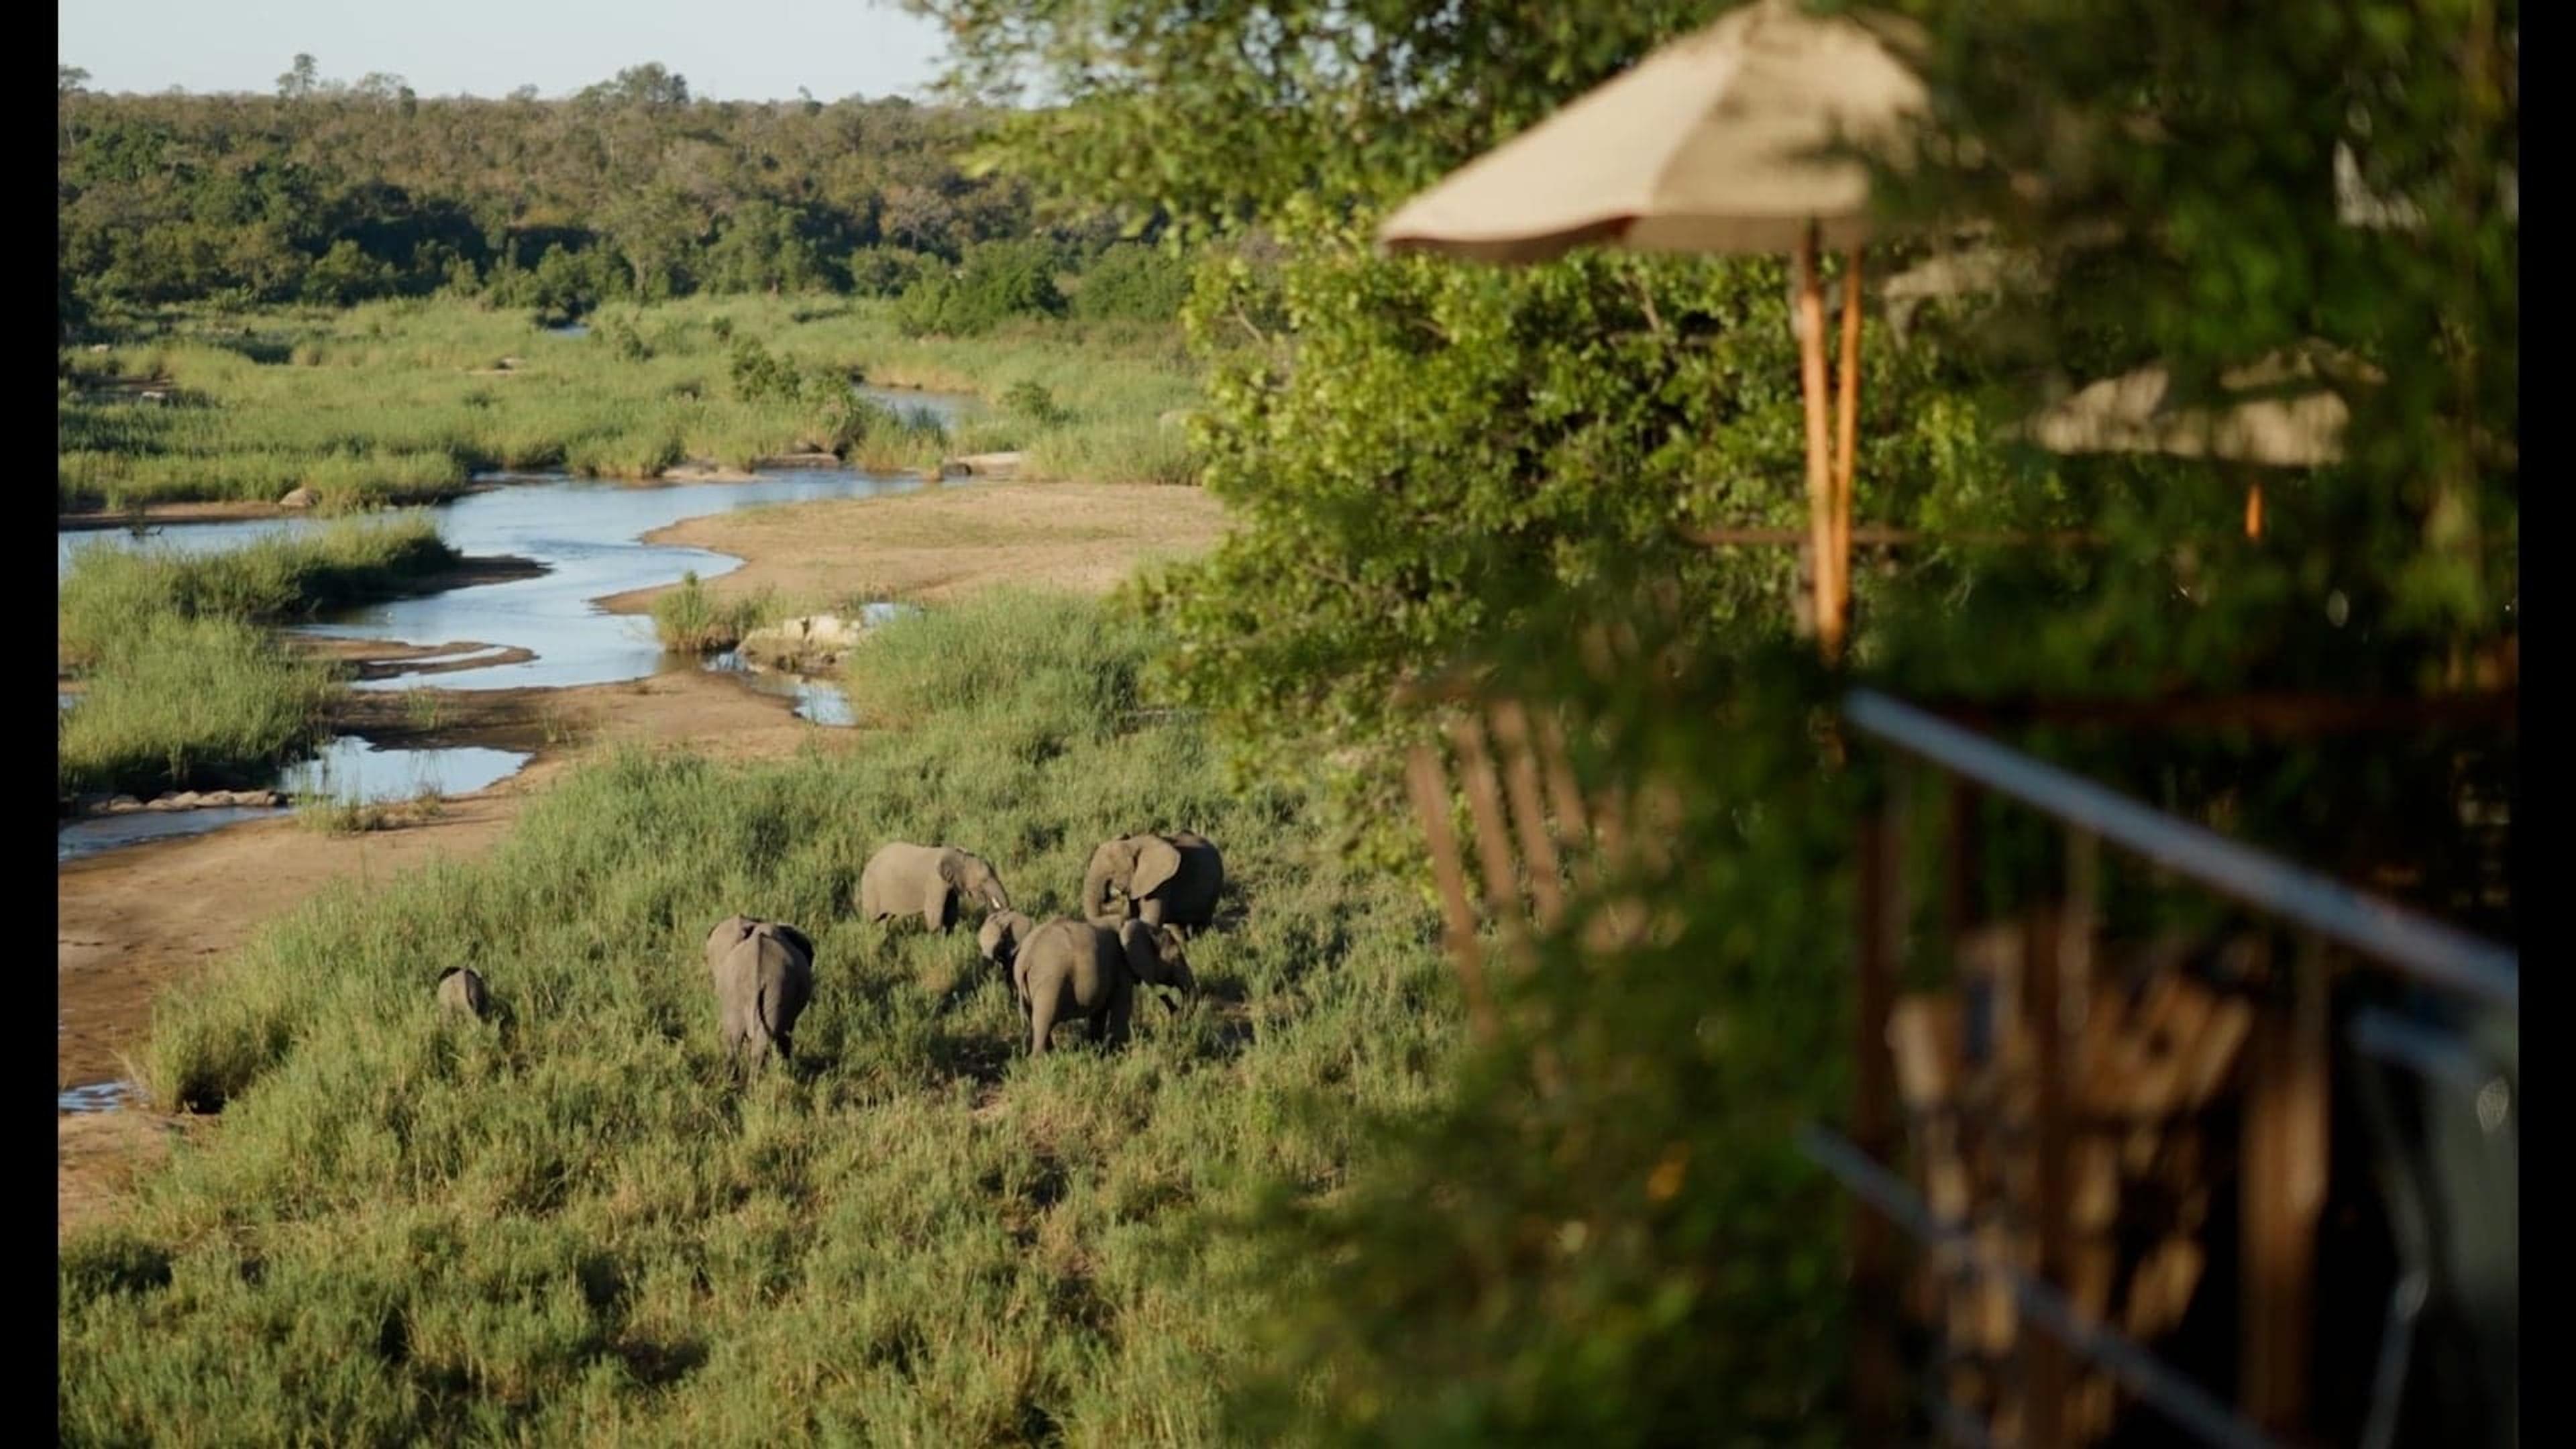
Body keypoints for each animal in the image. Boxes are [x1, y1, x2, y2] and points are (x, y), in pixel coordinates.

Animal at [857, 843, 1011, 934]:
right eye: (984, 880)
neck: (959, 856)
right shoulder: (935, 882)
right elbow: (934, 912)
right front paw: (937, 940)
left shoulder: (950, 885)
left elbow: (951, 912)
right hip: (871, 889)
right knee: (873, 919)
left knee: (885, 919)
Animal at [1011, 916, 1195, 1056]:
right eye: (1177, 957)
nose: (1177, 1012)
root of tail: (1026, 957)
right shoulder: (1122, 968)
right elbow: (1121, 1008)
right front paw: (1118, 1055)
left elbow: (1099, 1014)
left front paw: (1096, 1051)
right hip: (1049, 984)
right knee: (1043, 1022)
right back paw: (1042, 1061)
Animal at [1081, 832, 1223, 931]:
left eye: (1113, 872)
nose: (1119, 920)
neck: (1133, 844)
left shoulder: (1162, 883)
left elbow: (1149, 919)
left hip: (1216, 884)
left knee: (1202, 925)